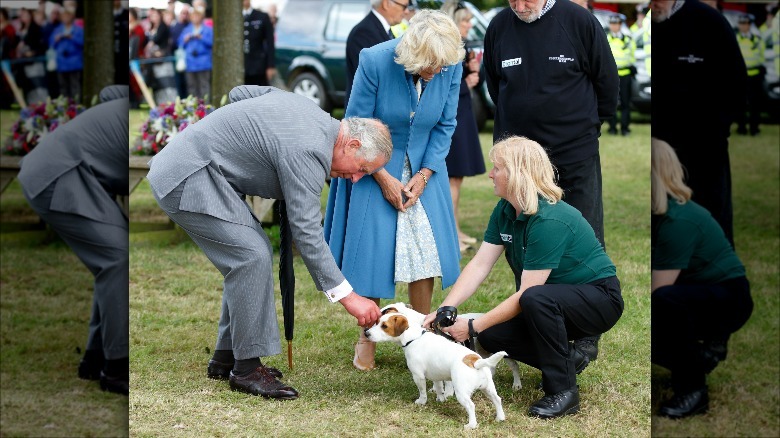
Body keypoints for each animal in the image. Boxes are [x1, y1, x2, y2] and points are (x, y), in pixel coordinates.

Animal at [368, 306, 508, 430]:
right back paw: (500, 418)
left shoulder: (418, 376)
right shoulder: (436, 375)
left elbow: (422, 391)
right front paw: (441, 399)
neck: (414, 337)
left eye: (384, 326)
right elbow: (440, 388)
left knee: (471, 406)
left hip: (461, 392)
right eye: (377, 322)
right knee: (497, 399)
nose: (366, 333)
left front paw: (421, 401)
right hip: (488, 388)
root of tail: (475, 362)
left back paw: (471, 425)